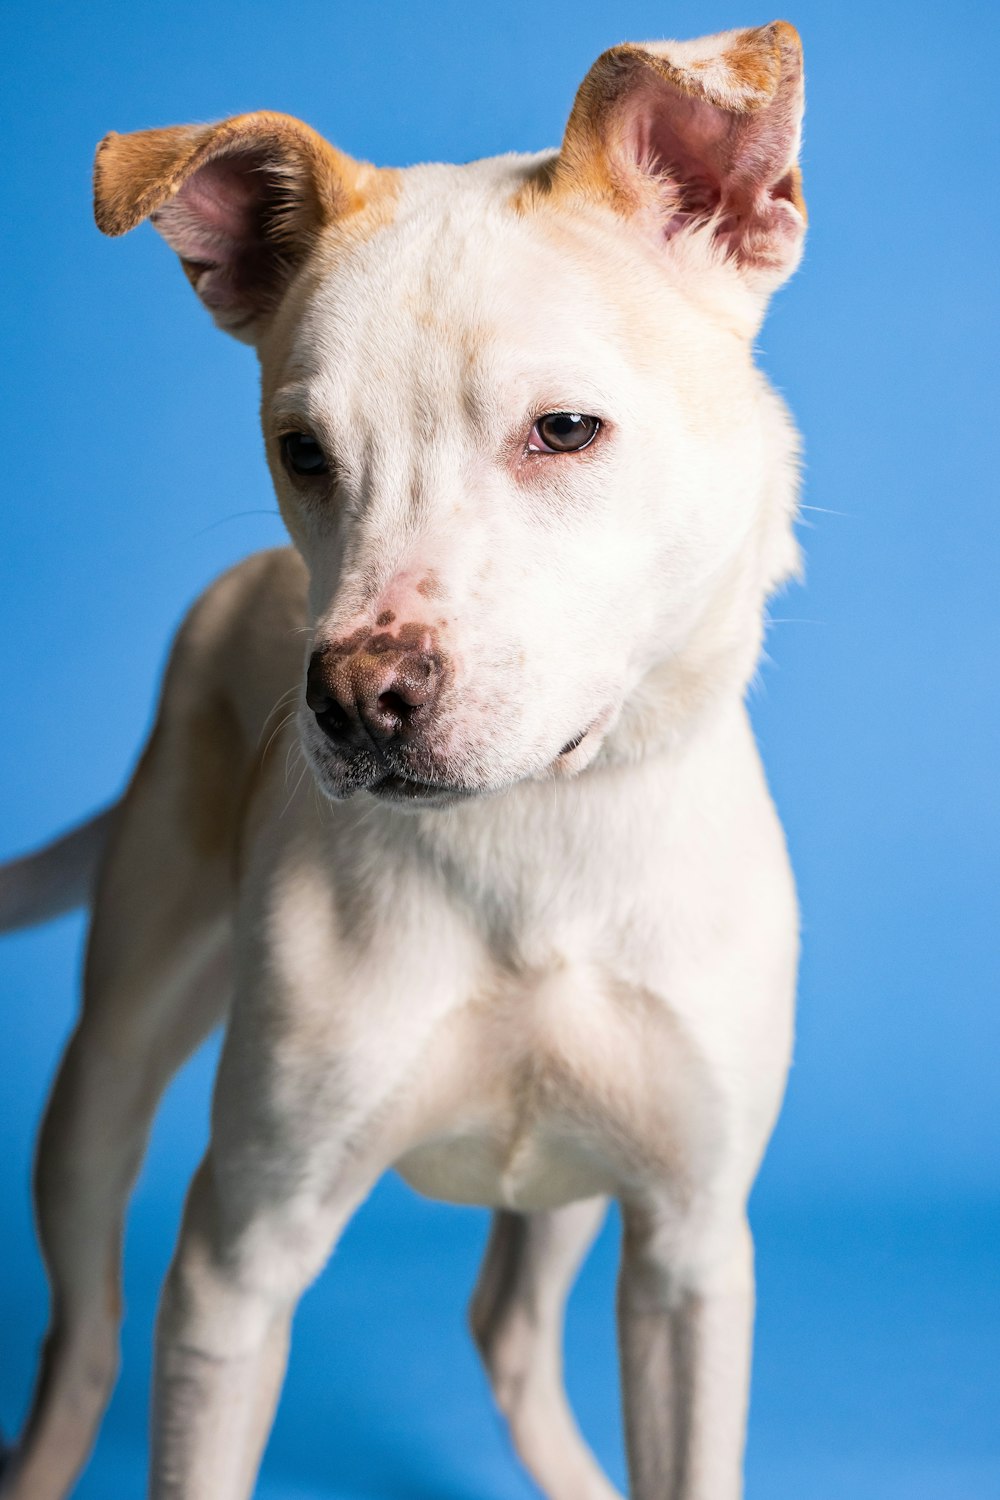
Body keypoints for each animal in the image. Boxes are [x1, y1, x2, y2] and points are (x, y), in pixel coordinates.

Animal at [0, 23, 809, 1500]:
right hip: (99, 1084)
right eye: (303, 451)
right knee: (79, 1341)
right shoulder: (236, 1260)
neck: (535, 832)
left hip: (575, 1181)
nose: (355, 700)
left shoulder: (689, 1248)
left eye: (564, 430)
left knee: (507, 1324)